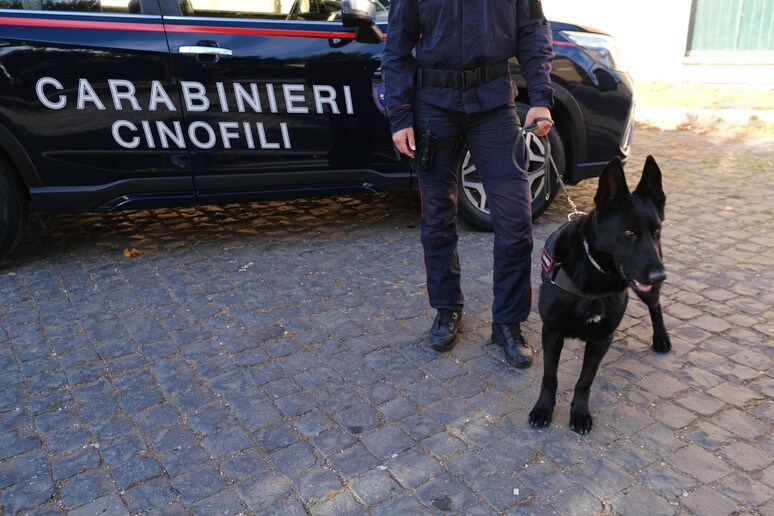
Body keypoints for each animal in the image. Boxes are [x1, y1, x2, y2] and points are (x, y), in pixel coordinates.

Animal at [532, 155, 668, 434]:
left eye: (656, 231)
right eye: (629, 233)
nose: (660, 276)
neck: (593, 274)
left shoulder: (601, 339)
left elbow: (585, 380)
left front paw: (579, 413)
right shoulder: (551, 333)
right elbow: (550, 376)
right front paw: (543, 408)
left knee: (656, 305)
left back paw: (661, 337)